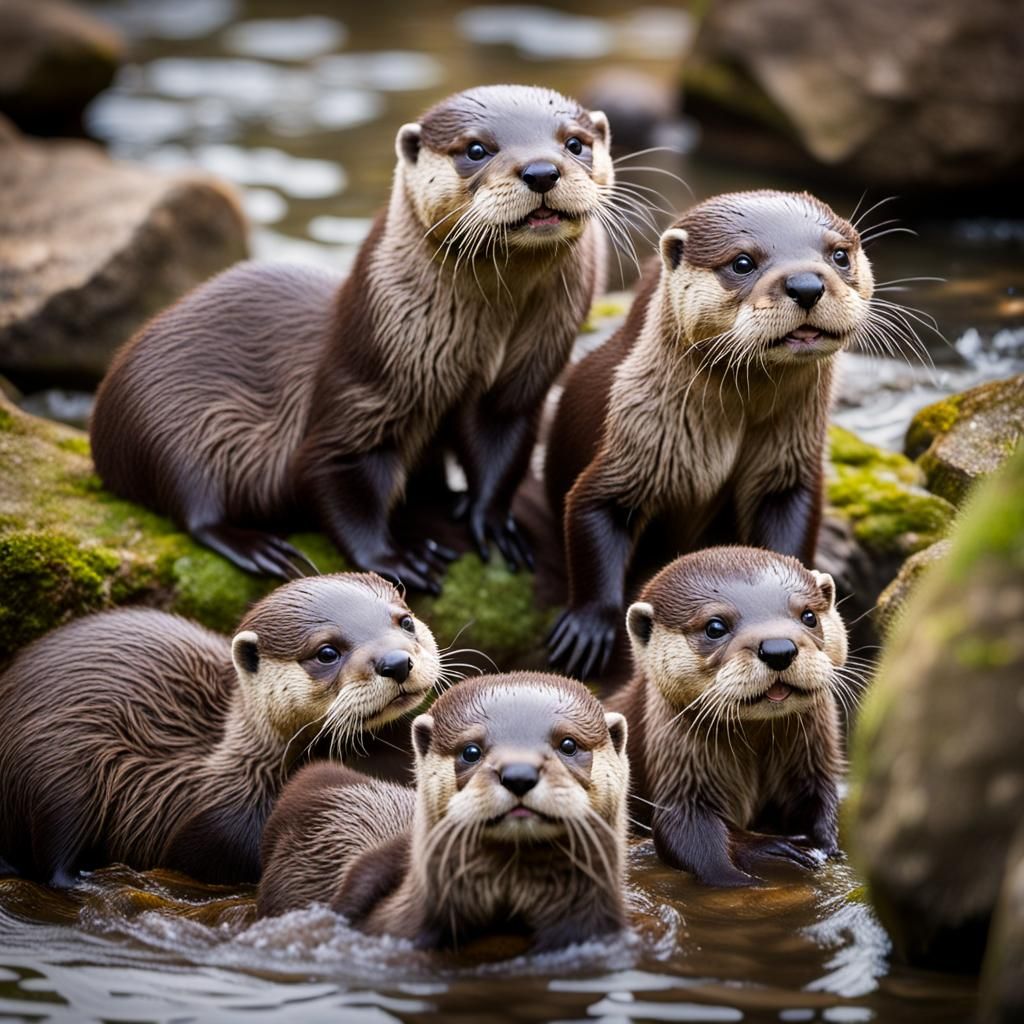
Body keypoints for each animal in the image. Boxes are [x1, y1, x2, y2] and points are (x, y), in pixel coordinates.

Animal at [0, 573, 440, 886]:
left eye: (405, 621)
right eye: (327, 652)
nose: (396, 661)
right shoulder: (221, 828)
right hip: (56, 768)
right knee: (52, 854)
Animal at [90, 85, 616, 593]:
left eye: (575, 144)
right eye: (476, 149)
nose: (541, 170)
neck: (482, 344)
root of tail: (102, 426)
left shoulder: (516, 388)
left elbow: (500, 453)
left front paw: (491, 521)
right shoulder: (365, 389)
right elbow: (336, 476)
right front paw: (394, 559)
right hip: (161, 428)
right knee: (193, 506)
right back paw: (257, 546)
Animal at [546, 190, 873, 677]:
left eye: (839, 255)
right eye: (742, 262)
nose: (806, 285)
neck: (729, 432)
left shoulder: (789, 462)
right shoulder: (633, 441)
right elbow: (591, 510)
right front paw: (587, 629)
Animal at [608, 547, 847, 886]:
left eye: (809, 616)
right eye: (715, 627)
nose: (778, 648)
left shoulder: (814, 764)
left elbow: (819, 801)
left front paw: (823, 846)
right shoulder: (679, 771)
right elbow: (688, 836)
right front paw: (766, 856)